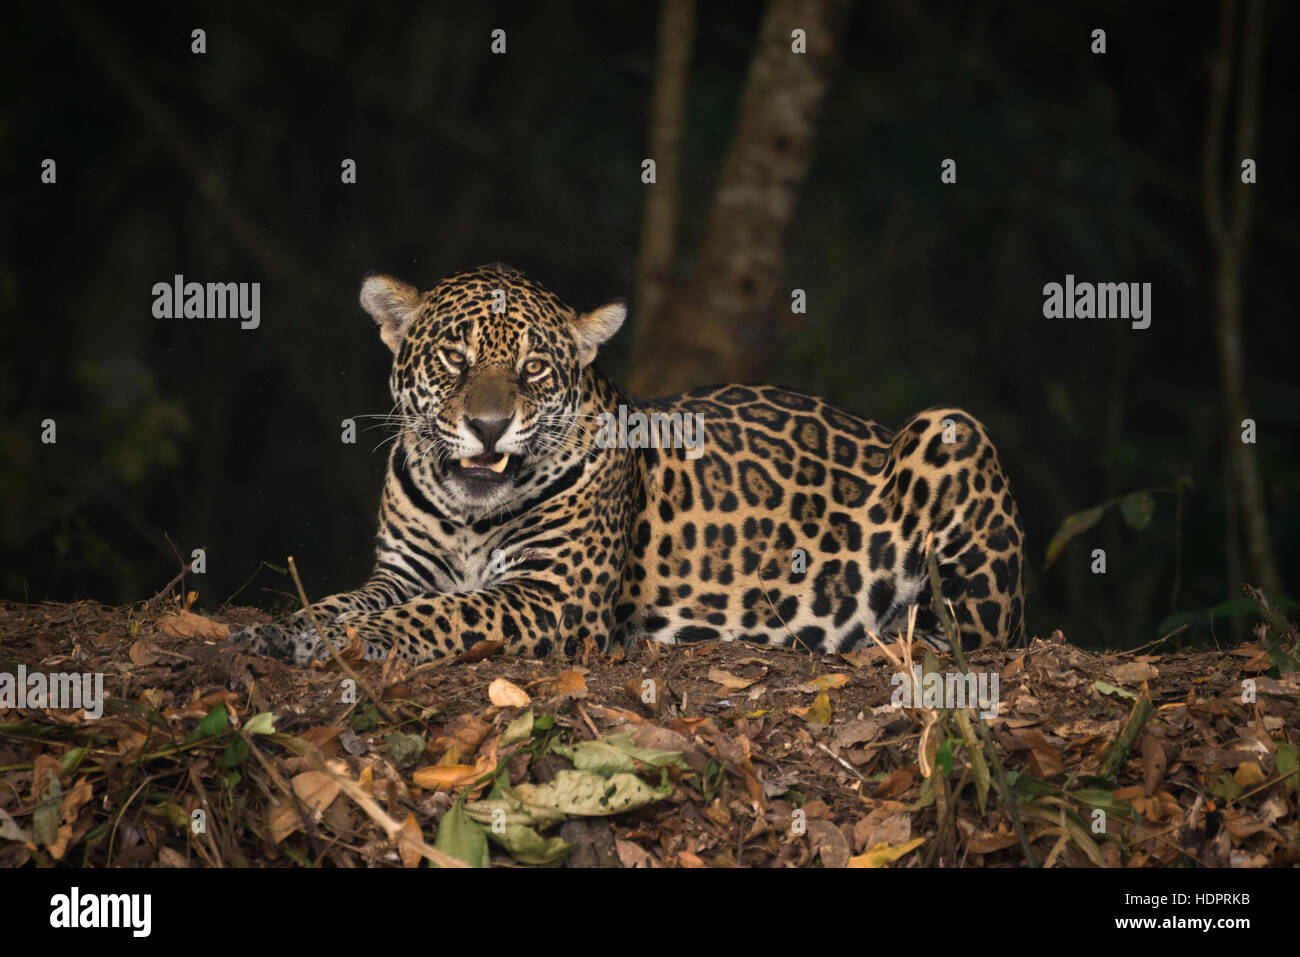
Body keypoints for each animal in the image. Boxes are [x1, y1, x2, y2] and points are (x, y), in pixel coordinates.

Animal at [228, 264, 1026, 665]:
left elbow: (445, 611)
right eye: (454, 359)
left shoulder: (556, 595)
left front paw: (353, 641)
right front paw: (281, 629)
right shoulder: (401, 573)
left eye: (533, 369)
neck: (467, 514)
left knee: (983, 635)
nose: (488, 427)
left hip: (950, 431)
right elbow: (347, 600)